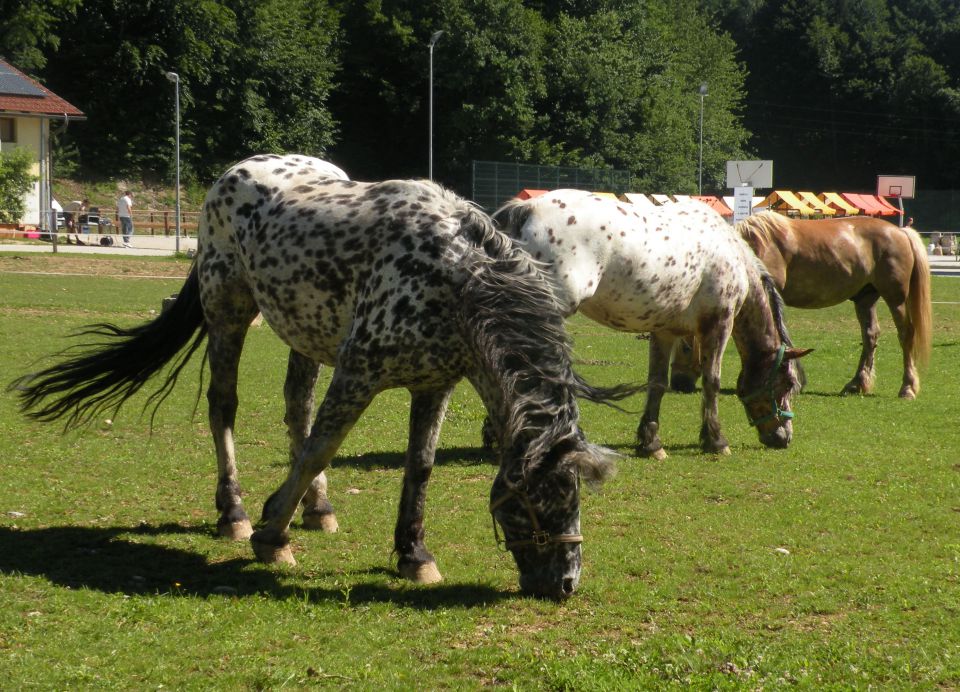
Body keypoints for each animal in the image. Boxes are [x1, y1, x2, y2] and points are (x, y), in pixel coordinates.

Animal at [736, 214, 928, 400]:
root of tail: (901, 232)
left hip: (896, 299)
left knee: (905, 334)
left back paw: (907, 388)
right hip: (865, 299)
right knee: (870, 336)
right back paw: (856, 383)